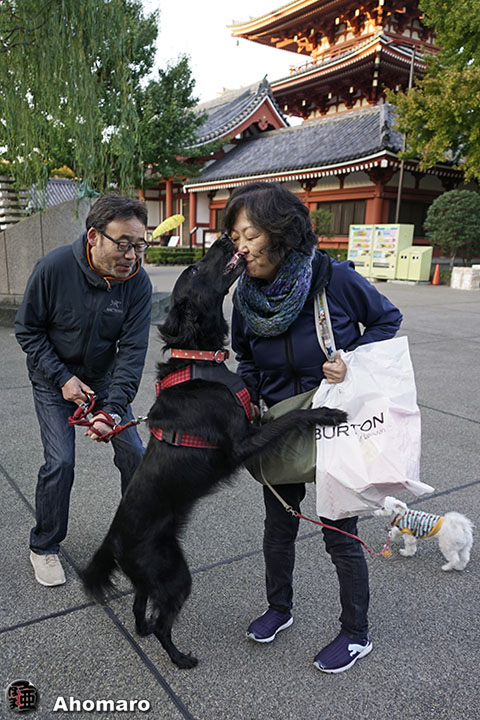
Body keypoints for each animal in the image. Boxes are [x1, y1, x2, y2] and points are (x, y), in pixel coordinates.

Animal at [81, 234, 347, 668]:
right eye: (193, 268)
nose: (224, 237)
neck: (201, 359)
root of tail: (114, 540)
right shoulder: (242, 443)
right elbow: (287, 418)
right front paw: (324, 412)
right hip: (174, 574)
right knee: (162, 623)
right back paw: (180, 659)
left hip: (151, 574)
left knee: (140, 607)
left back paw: (143, 630)